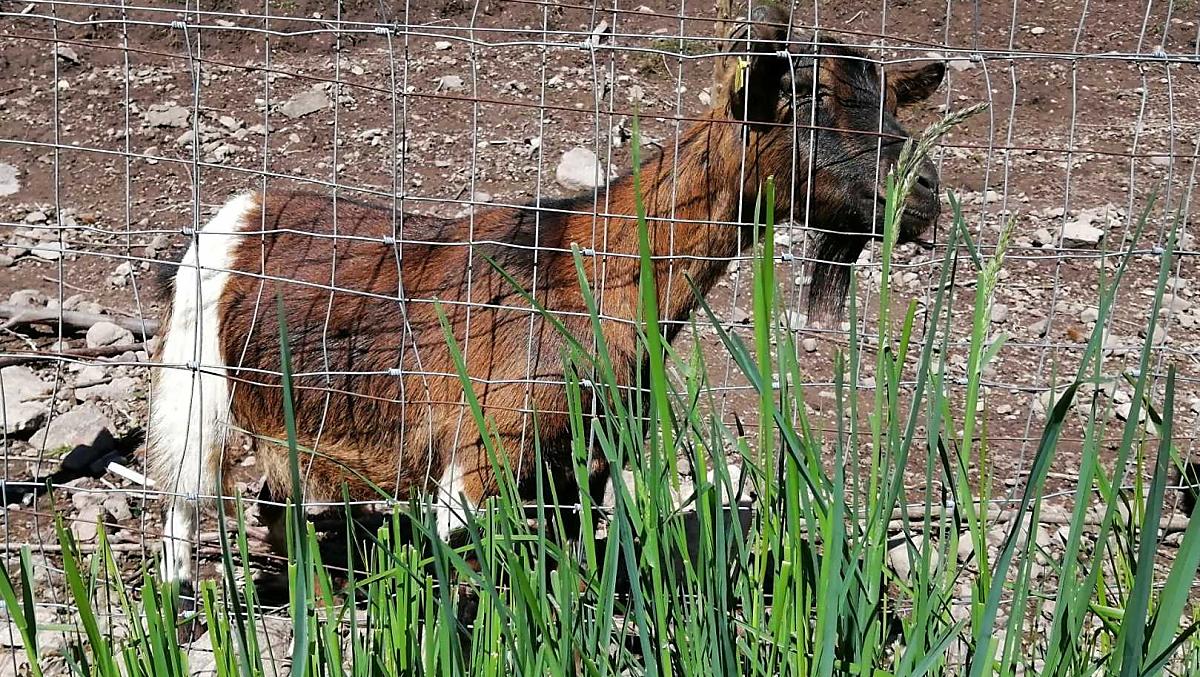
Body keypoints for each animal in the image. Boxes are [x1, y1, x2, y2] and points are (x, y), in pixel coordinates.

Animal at [148, 5, 946, 585]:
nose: (924, 194)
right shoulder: (481, 452)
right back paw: (182, 594)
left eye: (890, 103)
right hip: (198, 384)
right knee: (186, 494)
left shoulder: (581, 458)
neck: (589, 267)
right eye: (806, 100)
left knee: (273, 500)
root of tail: (233, 216)